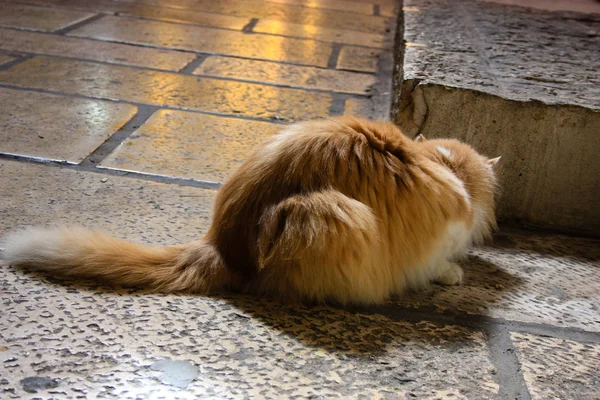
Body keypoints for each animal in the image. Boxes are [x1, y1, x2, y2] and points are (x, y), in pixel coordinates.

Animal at [3, 117, 502, 304]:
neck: (442, 165)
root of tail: (220, 247)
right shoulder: (437, 237)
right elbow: (437, 263)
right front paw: (453, 273)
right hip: (333, 212)